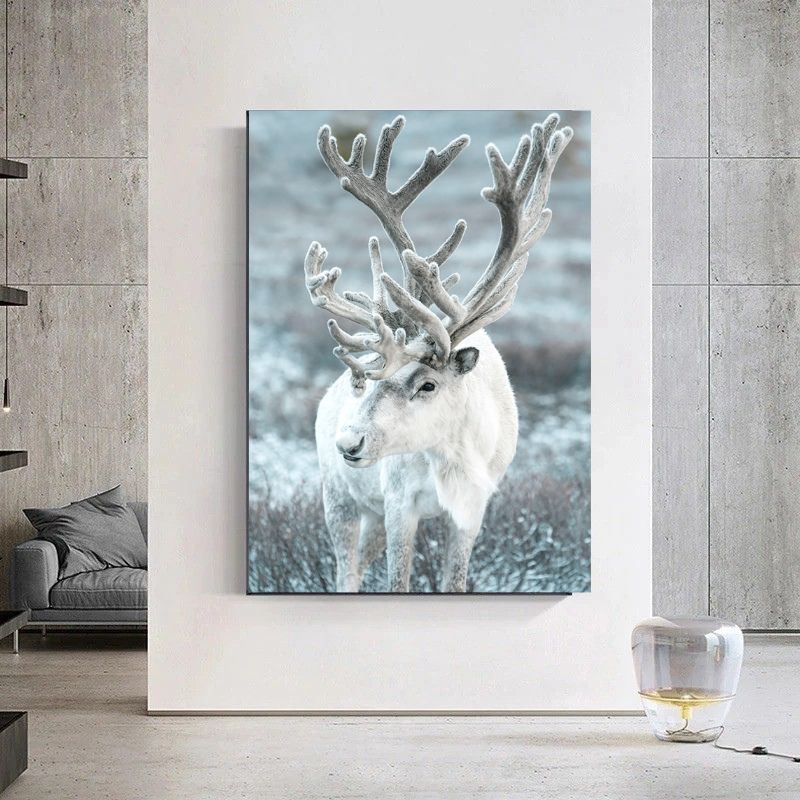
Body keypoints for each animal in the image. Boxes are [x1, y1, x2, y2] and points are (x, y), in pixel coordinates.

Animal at [304, 113, 572, 592]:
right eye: (375, 378)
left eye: (427, 384)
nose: (349, 441)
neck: (452, 458)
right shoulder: (398, 504)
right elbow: (398, 581)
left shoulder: (472, 510)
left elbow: (456, 581)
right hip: (339, 498)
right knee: (346, 570)